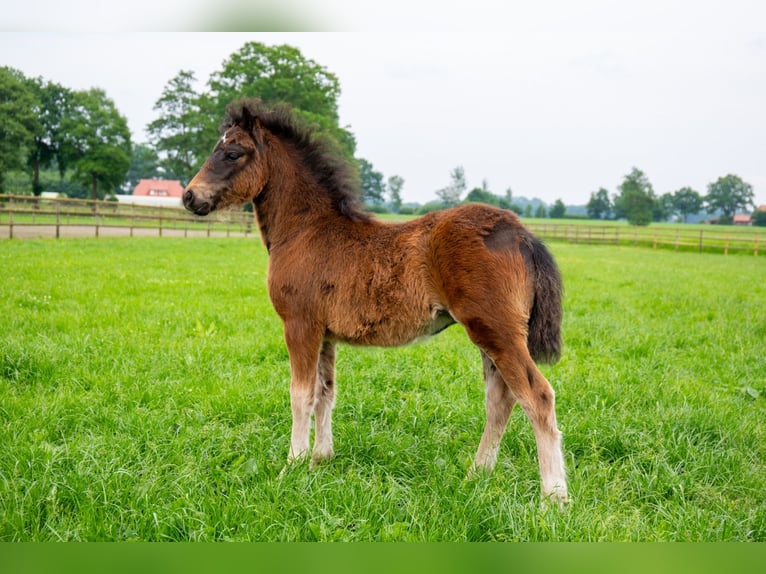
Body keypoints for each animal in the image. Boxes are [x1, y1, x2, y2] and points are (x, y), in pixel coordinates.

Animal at [184, 101, 568, 506]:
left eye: (232, 153)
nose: (190, 196)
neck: (305, 230)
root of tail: (521, 234)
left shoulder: (300, 324)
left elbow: (300, 395)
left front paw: (292, 465)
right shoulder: (325, 333)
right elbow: (325, 392)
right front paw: (320, 459)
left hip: (497, 331)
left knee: (537, 396)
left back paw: (554, 498)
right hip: (491, 335)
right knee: (500, 400)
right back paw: (475, 476)